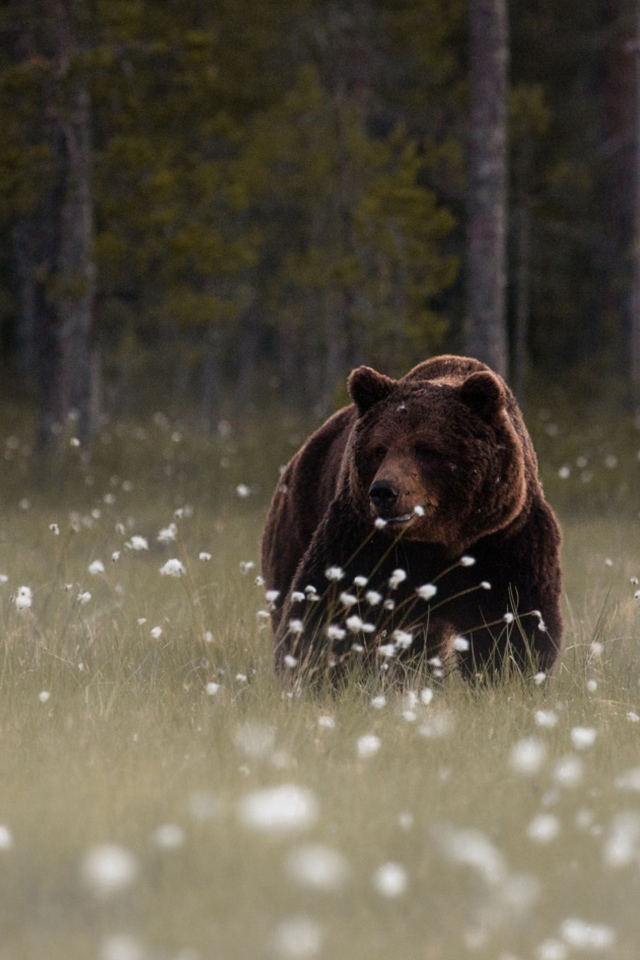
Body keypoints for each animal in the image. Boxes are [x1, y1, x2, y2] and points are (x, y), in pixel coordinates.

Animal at [260, 354, 560, 684]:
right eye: (380, 449)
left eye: (426, 449)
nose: (383, 491)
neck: (438, 541)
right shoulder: (363, 540)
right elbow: (329, 604)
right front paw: (316, 672)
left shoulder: (503, 540)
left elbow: (513, 622)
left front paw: (509, 673)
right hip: (297, 521)